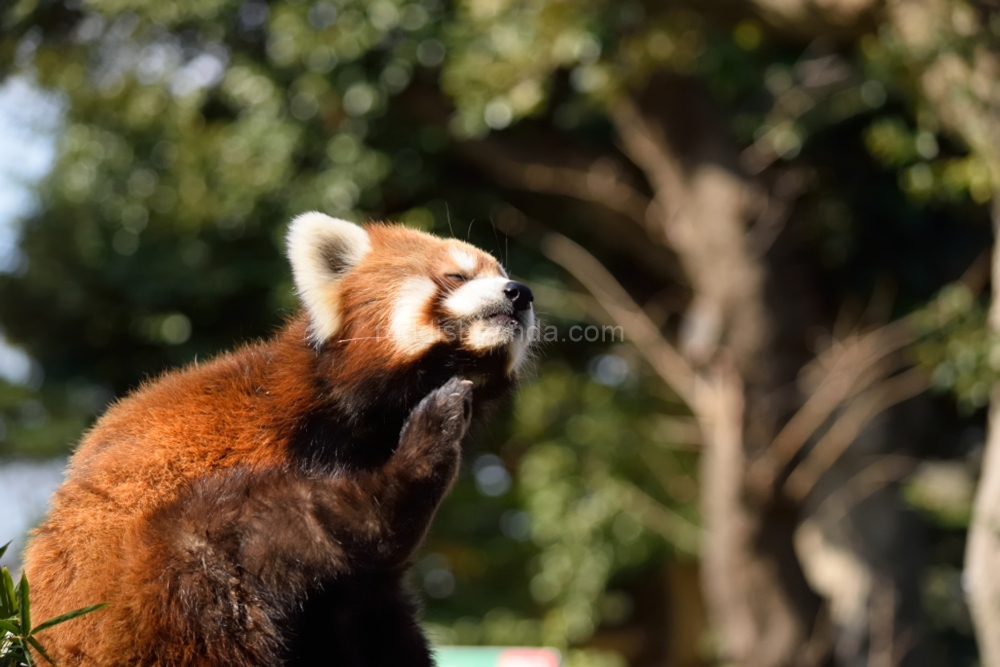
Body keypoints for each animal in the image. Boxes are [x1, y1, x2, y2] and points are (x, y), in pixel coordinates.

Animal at [23, 215, 536, 667]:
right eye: (457, 275)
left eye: (502, 274)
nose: (520, 292)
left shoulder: (359, 603)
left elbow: (369, 610)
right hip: (153, 587)